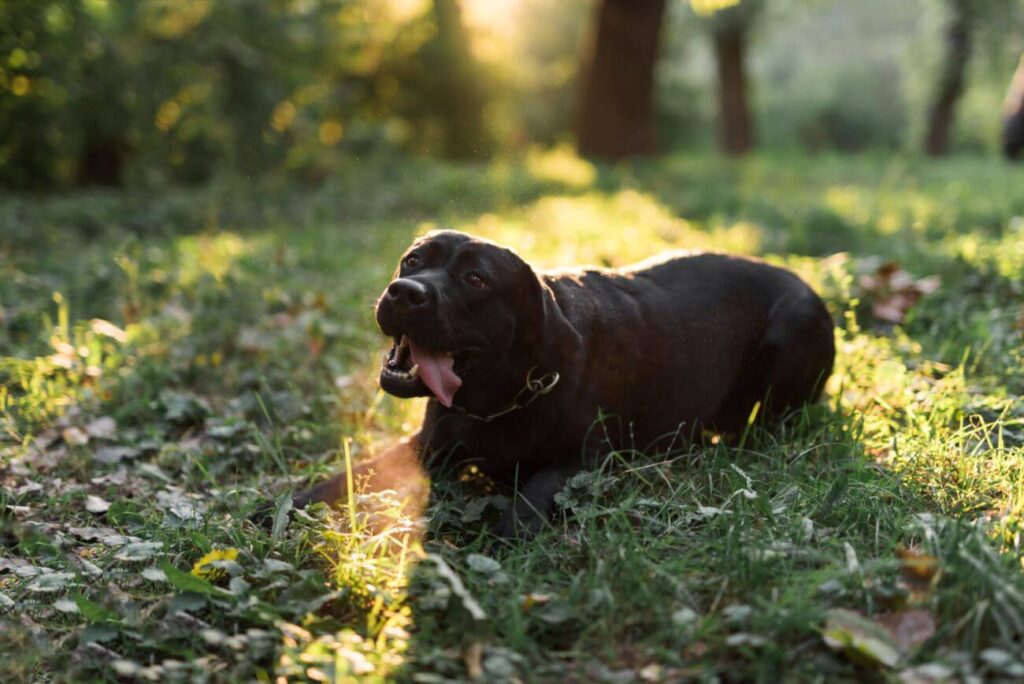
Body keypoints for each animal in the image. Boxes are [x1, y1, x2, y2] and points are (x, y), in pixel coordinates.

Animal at [292, 232, 835, 536]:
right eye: (413, 261)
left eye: (476, 280)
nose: (405, 292)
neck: (501, 395)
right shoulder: (429, 444)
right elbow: (355, 472)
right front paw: (289, 504)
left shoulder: (589, 459)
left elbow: (535, 494)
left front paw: (506, 534)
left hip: (789, 335)